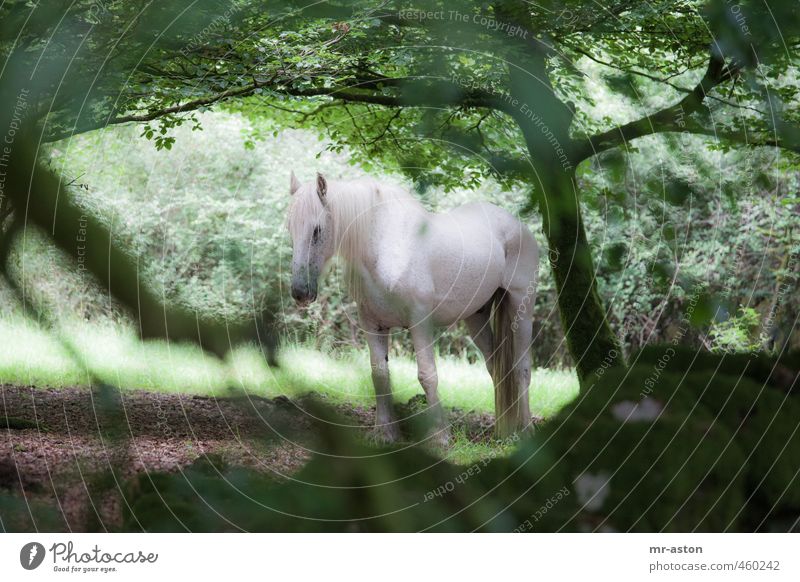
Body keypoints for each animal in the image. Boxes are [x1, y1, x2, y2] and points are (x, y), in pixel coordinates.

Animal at [288, 172, 536, 442]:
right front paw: (384, 433)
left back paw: (525, 430)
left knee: (522, 368)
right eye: (290, 228)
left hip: (521, 306)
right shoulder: (371, 323)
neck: (384, 245)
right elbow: (380, 374)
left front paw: (441, 436)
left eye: (316, 230)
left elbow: (427, 375)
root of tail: (518, 226)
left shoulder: (420, 322)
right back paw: (502, 432)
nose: (300, 292)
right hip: (476, 316)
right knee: (496, 367)